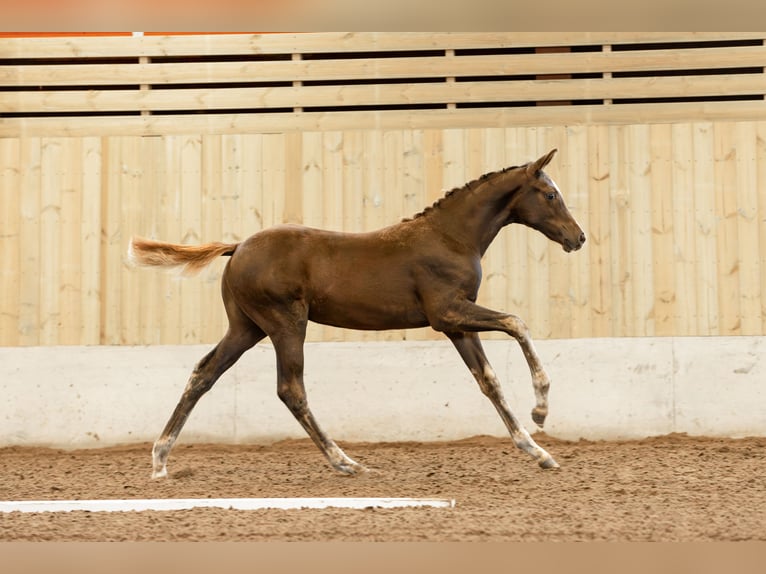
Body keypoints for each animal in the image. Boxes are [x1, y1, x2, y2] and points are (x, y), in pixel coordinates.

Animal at [130, 150, 588, 482]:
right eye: (550, 194)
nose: (578, 237)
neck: (451, 237)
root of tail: (238, 246)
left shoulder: (457, 325)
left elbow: (489, 381)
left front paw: (539, 451)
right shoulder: (448, 313)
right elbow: (516, 323)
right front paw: (541, 409)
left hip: (247, 328)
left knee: (204, 374)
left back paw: (160, 460)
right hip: (285, 324)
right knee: (290, 389)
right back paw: (345, 462)